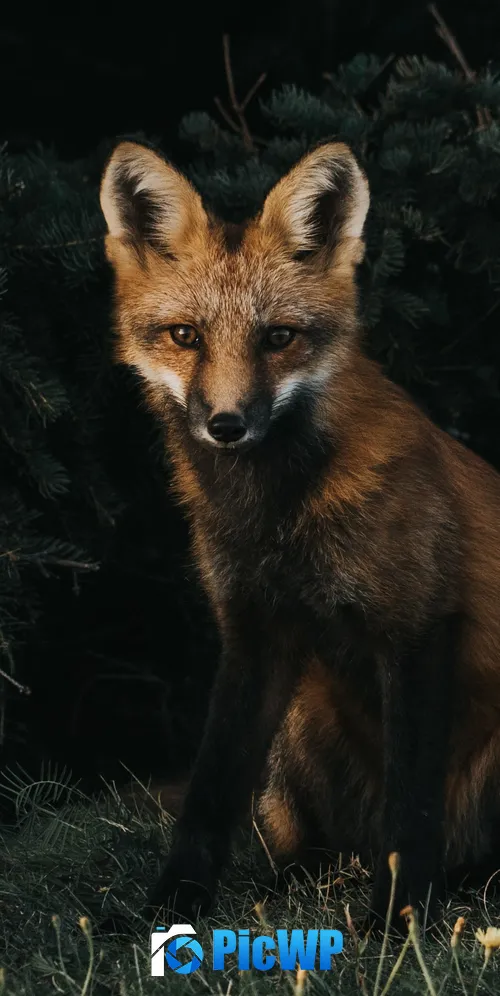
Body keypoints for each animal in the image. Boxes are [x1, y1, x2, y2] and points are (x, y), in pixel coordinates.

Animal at [100, 138, 500, 930]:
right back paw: (299, 880)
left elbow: (411, 812)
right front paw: (169, 908)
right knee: (311, 849)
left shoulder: (418, 627)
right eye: (186, 336)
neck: (279, 518)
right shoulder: (254, 629)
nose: (226, 425)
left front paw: (398, 924)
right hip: (303, 720)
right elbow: (209, 791)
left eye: (278, 338)